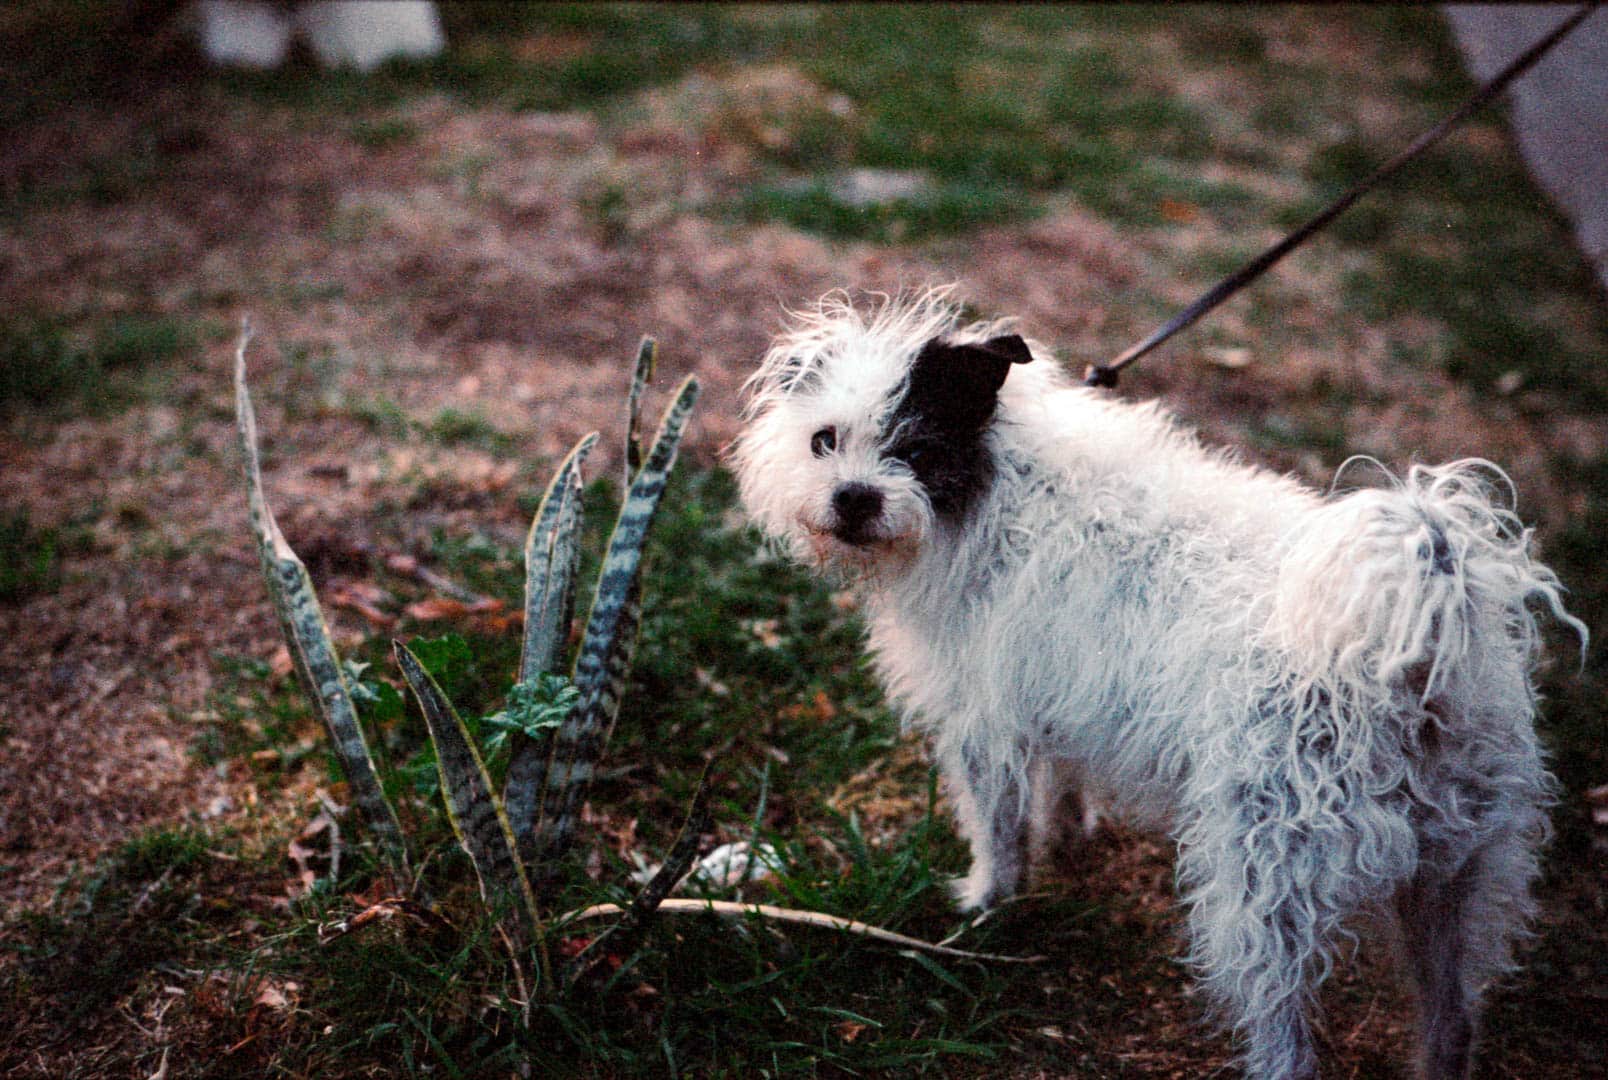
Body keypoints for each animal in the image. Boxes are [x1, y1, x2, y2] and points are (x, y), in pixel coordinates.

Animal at [736, 289, 1588, 1080]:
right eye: (824, 440)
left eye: (914, 448)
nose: (853, 497)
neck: (994, 490)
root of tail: (1413, 659)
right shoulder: (1053, 697)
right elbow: (1062, 781)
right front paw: (1067, 832)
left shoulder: (984, 728)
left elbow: (999, 832)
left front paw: (985, 905)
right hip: (1456, 880)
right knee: (1453, 1021)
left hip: (1264, 879)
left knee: (1287, 1031)